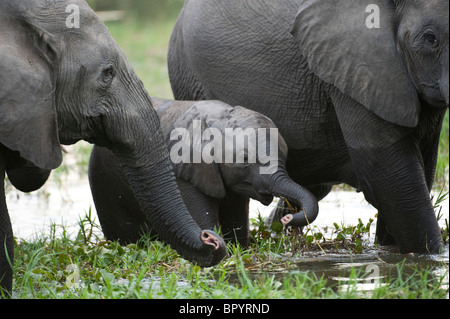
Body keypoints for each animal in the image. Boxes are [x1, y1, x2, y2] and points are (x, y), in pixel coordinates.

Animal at [89, 97, 320, 248]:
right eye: (245, 160)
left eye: (285, 155)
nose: (287, 217)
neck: (218, 120)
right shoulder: (184, 172)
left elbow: (236, 219)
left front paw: (238, 249)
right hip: (103, 180)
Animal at [167, 0, 448, 255]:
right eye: (431, 39)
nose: (288, 219)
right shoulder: (359, 72)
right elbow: (395, 181)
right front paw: (428, 258)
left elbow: (420, 173)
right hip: (191, 80)